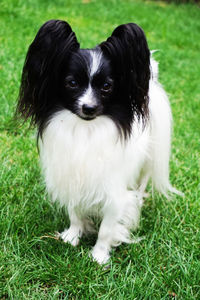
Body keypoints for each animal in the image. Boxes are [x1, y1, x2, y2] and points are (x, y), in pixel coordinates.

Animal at [16, 20, 181, 264]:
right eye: (71, 83)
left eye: (106, 87)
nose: (89, 108)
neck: (86, 130)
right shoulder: (73, 176)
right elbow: (74, 212)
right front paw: (73, 236)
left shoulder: (113, 191)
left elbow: (107, 227)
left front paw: (99, 256)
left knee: (142, 181)